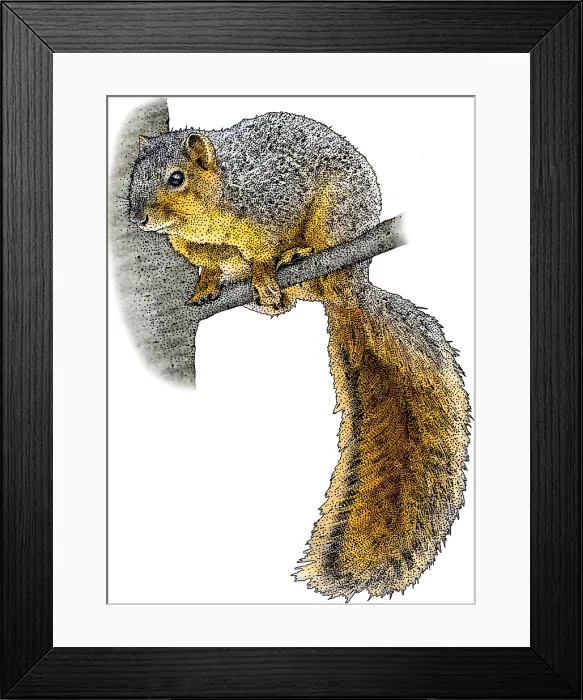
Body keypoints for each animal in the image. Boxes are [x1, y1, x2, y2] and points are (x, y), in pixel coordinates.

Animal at [128, 111, 470, 601]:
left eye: (177, 178)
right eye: (133, 175)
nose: (136, 217)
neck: (211, 209)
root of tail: (351, 284)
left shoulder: (273, 203)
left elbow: (262, 252)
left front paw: (264, 271)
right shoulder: (201, 248)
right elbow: (212, 265)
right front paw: (205, 286)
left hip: (337, 213)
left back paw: (297, 258)